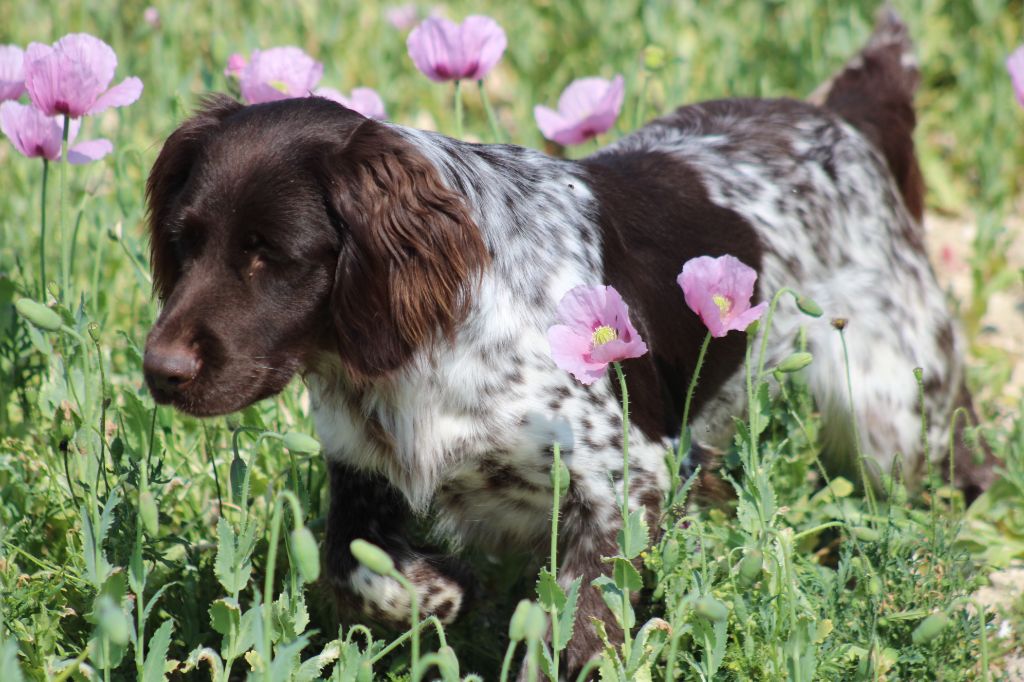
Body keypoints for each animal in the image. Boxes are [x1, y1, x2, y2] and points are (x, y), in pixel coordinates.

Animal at [142, 13, 991, 671]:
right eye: (185, 241)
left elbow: (575, 629)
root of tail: (844, 121)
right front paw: (436, 592)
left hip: (894, 417)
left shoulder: (622, 482)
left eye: (271, 255)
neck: (442, 341)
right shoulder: (364, 467)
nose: (159, 372)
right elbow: (352, 566)